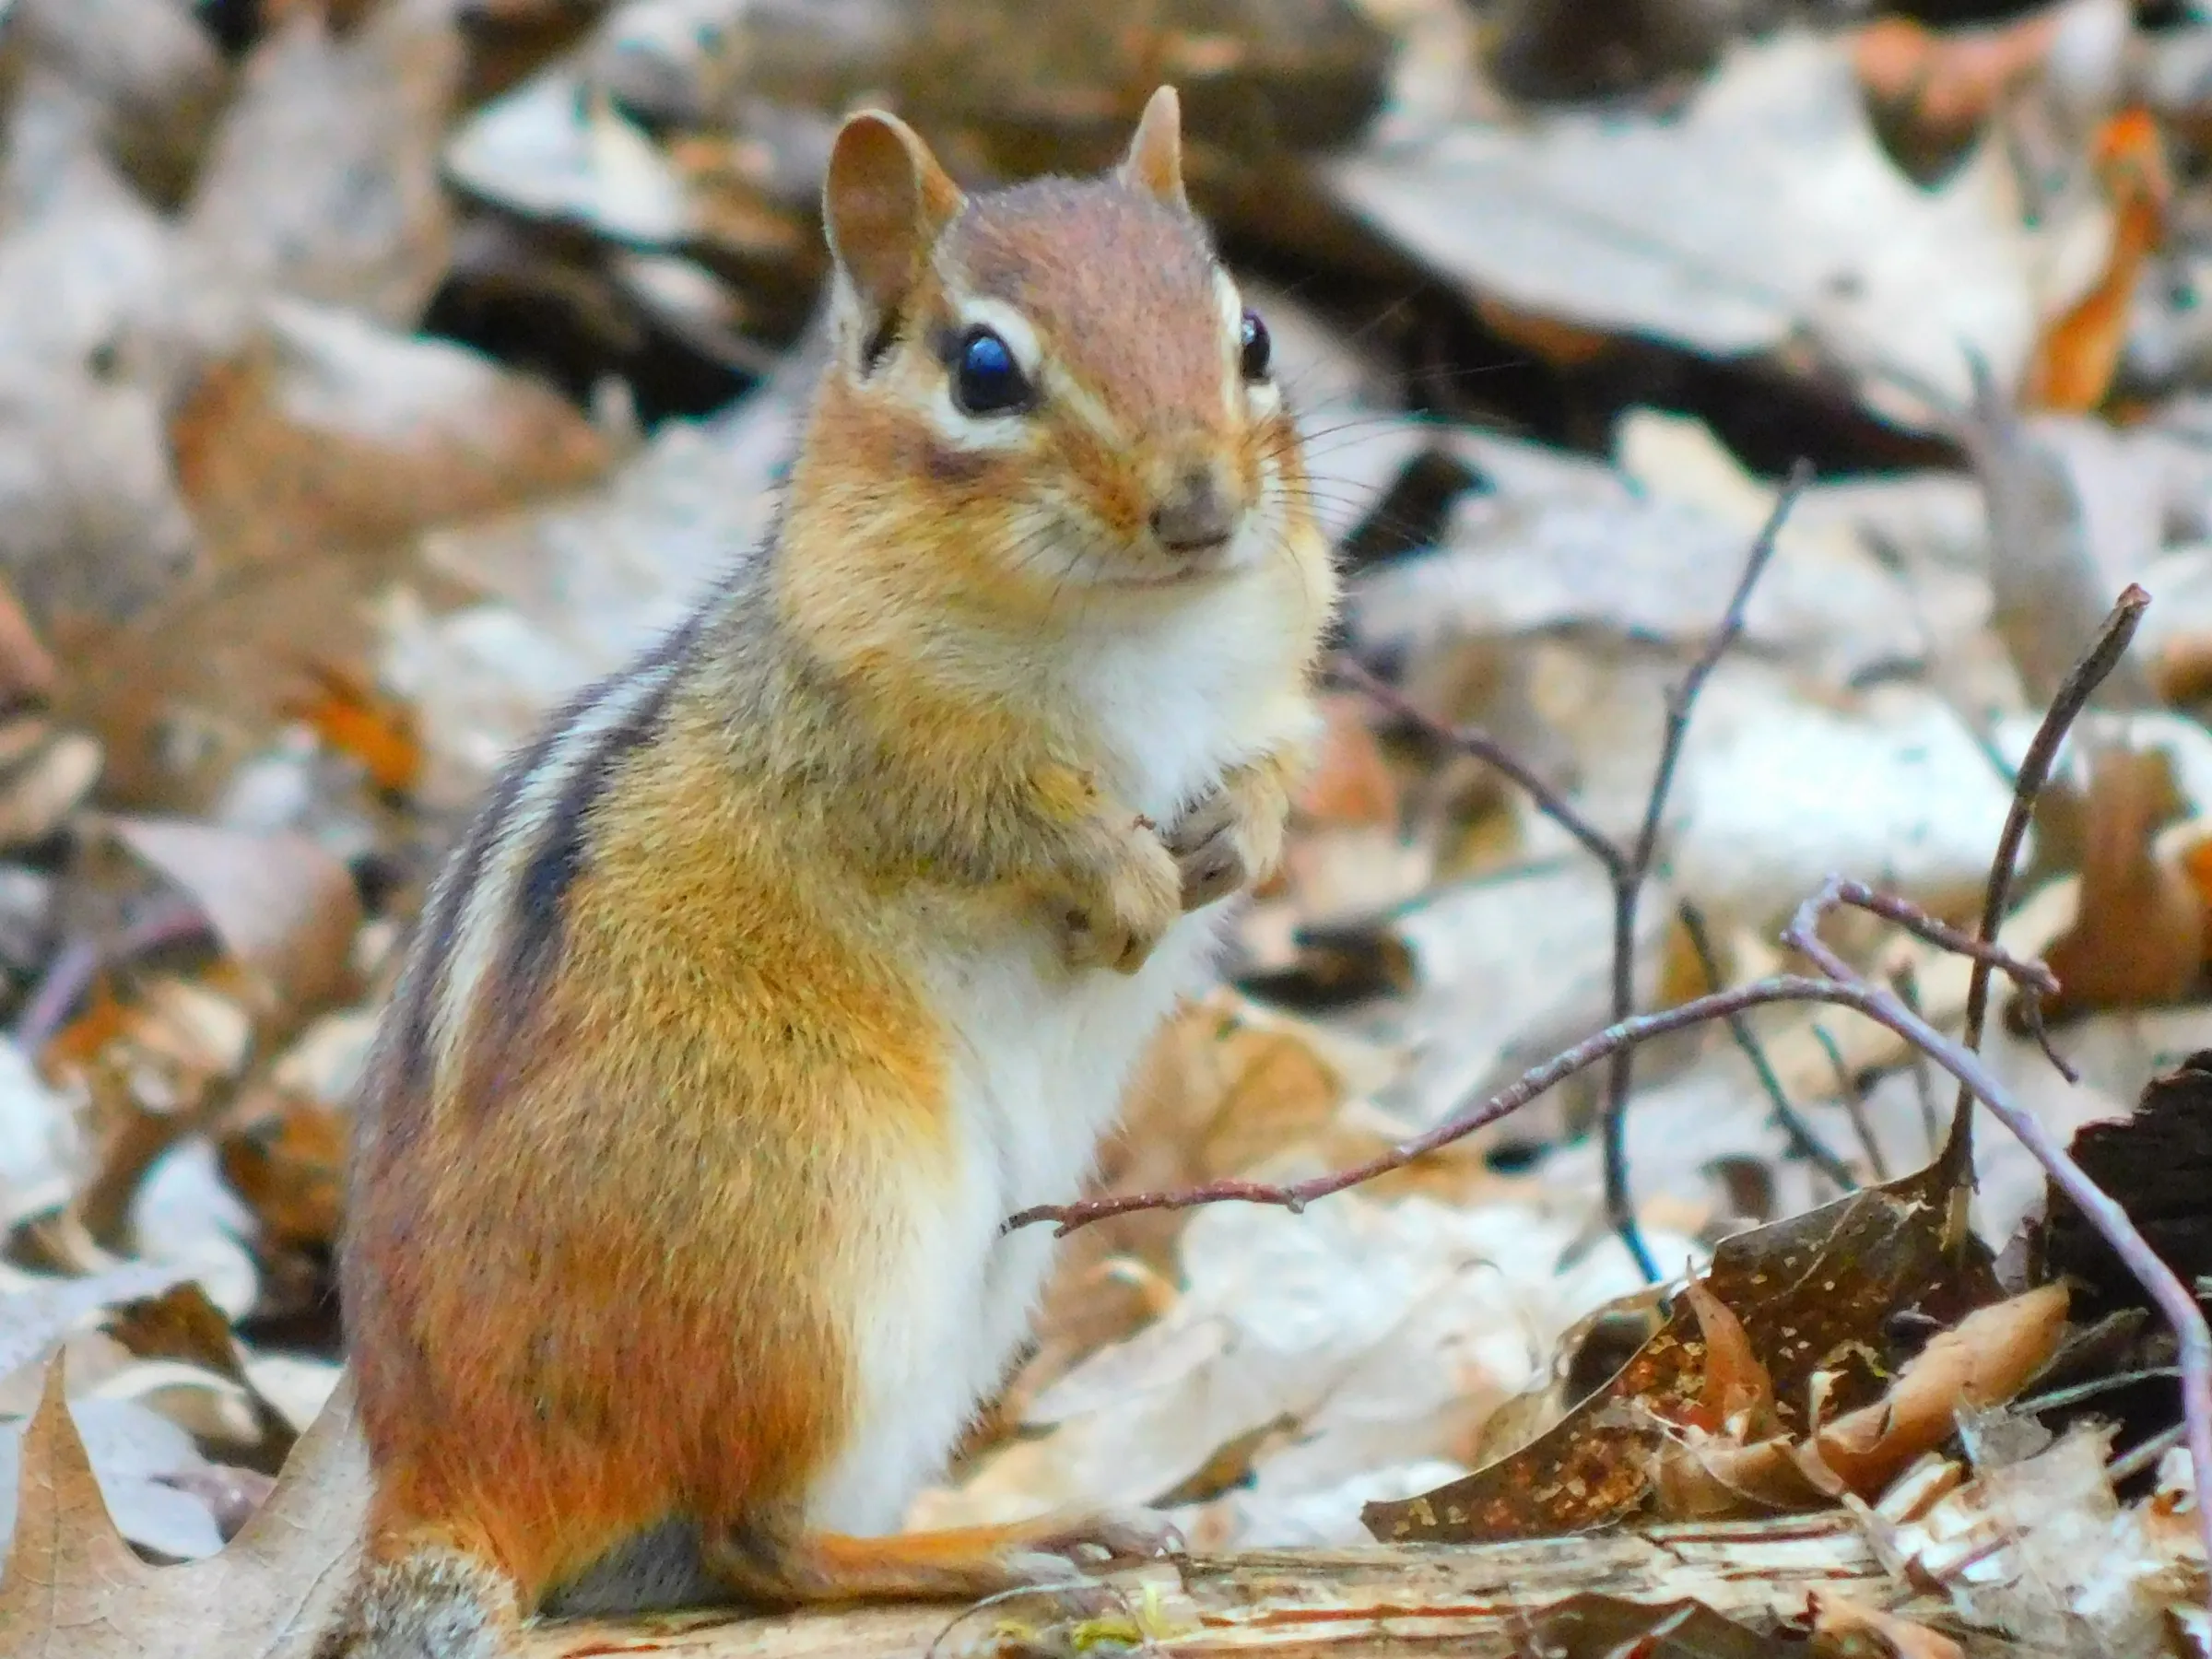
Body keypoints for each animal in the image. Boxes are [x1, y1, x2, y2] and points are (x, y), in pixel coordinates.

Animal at [323, 86, 1338, 1657]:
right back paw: (1001, 1547)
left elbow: (1274, 770)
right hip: (814, 1241)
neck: (1138, 633)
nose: (1198, 508)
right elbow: (984, 814)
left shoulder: (1269, 690)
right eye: (984, 370)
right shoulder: (865, 738)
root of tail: (446, 1477)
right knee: (760, 1541)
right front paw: (1121, 874)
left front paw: (1235, 839)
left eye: (1254, 337)